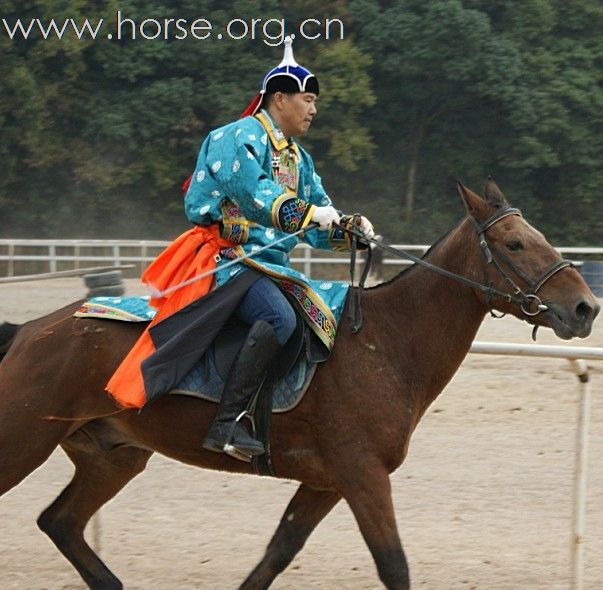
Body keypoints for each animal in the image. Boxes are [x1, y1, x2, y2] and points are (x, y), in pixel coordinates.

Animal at [0, 182, 600, 590]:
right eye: (515, 244)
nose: (584, 307)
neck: (386, 342)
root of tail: (28, 332)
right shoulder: (362, 473)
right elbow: (394, 566)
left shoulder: (325, 482)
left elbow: (275, 555)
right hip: (23, 441)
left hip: (114, 456)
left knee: (61, 523)